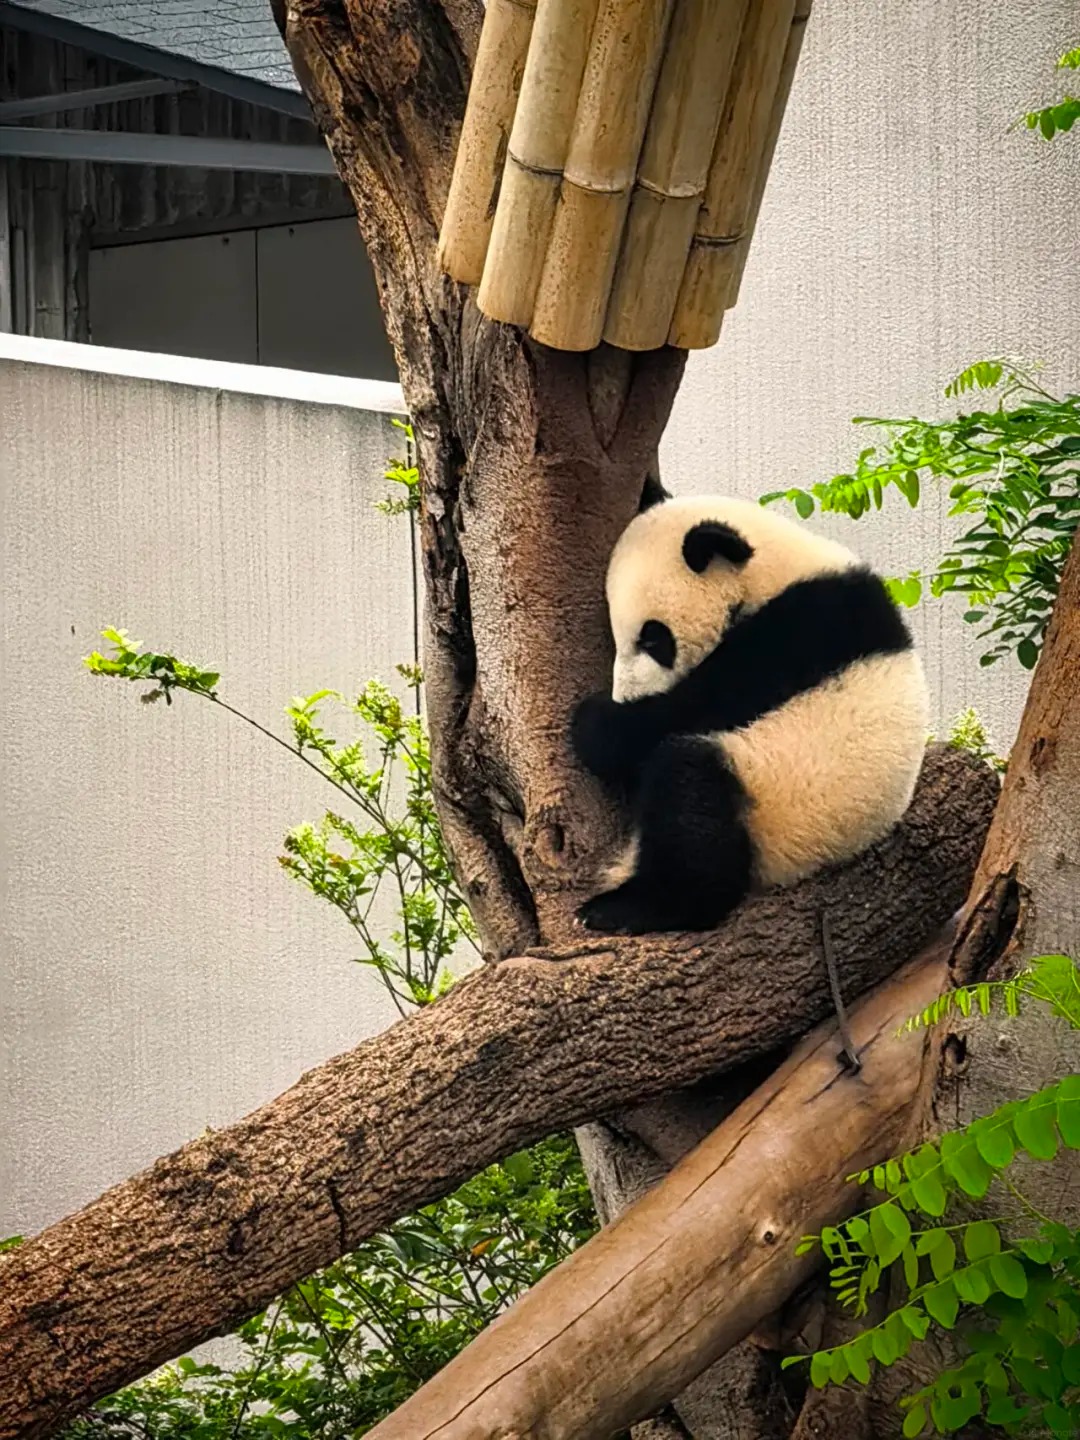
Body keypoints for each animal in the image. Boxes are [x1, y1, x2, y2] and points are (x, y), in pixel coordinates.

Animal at [570, 492, 930, 935]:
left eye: (653, 639)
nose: (626, 696)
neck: (772, 573)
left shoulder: (796, 632)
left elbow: (694, 708)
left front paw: (595, 724)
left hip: (780, 800)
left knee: (690, 790)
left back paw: (631, 907)